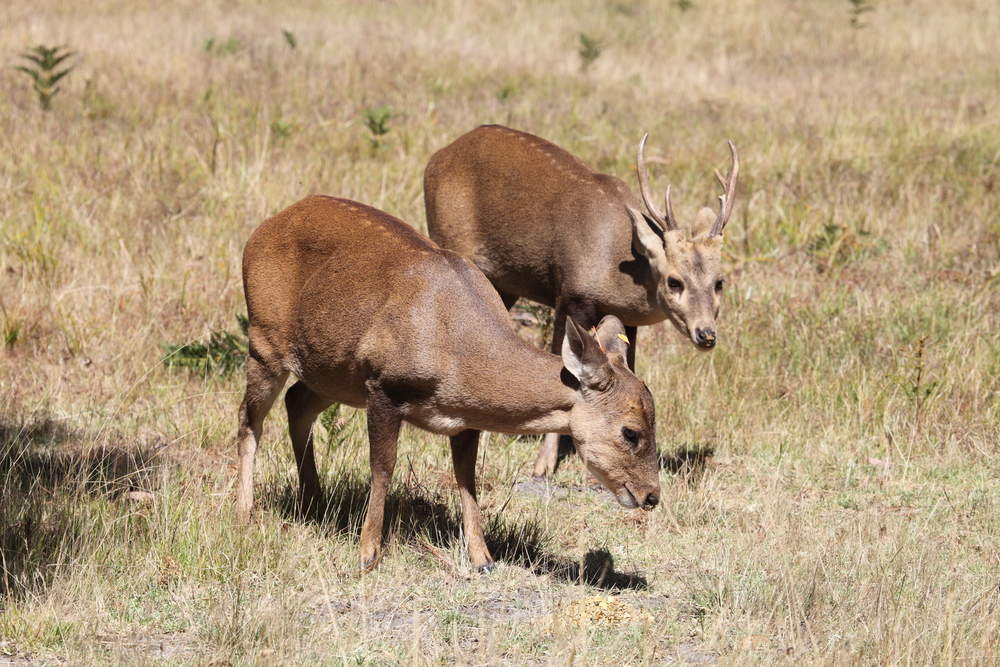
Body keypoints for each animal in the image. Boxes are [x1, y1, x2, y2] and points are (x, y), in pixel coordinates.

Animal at [237, 196, 660, 572]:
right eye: (631, 432)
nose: (652, 496)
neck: (457, 356)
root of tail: (261, 230)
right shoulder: (382, 385)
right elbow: (383, 466)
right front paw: (368, 554)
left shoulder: (466, 417)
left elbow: (466, 477)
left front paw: (483, 558)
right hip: (264, 340)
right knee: (249, 419)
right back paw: (246, 513)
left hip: (331, 373)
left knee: (297, 402)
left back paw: (314, 503)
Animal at [426, 125, 740, 478]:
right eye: (674, 281)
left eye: (719, 282)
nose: (706, 334)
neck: (617, 263)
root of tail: (438, 156)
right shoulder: (570, 294)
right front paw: (544, 464)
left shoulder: (624, 319)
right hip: (448, 238)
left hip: (504, 284)